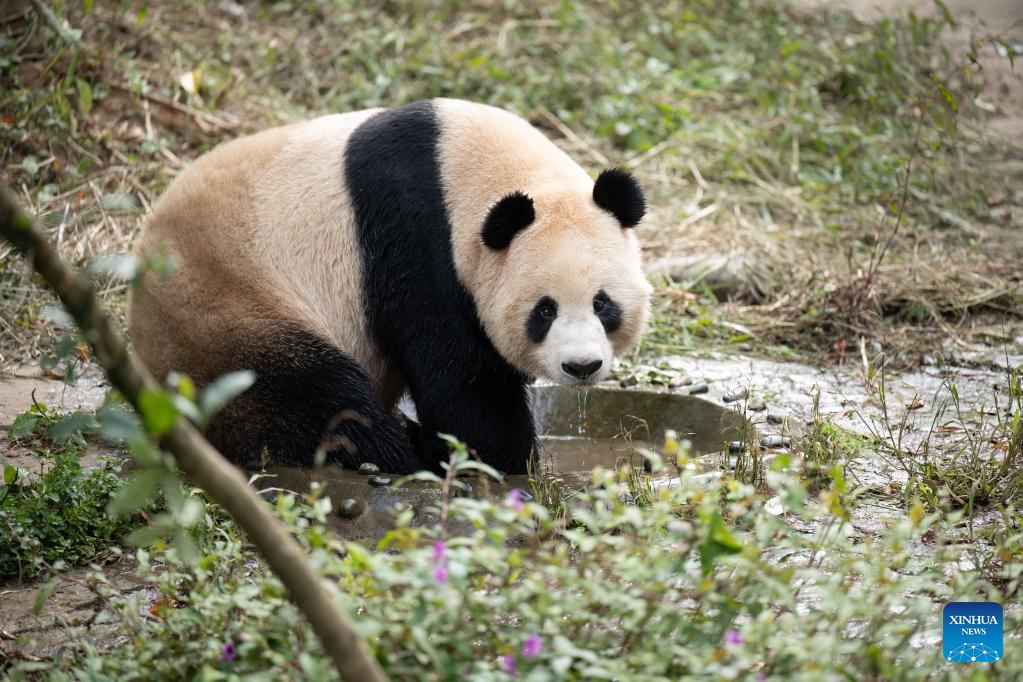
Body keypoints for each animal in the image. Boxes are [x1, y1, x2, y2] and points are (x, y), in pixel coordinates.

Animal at [128, 99, 651, 475]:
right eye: (544, 310)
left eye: (603, 304)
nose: (581, 367)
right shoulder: (415, 244)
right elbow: (460, 380)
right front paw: (507, 456)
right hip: (225, 308)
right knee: (314, 396)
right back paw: (405, 450)